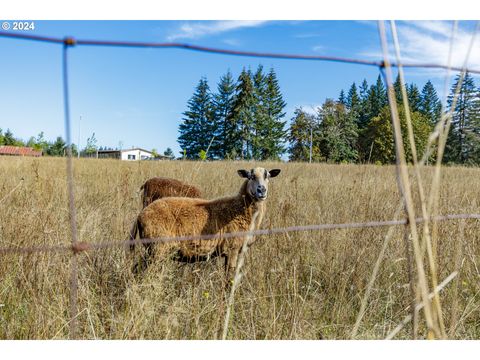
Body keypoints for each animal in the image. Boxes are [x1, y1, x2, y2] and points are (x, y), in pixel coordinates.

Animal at [129, 167, 282, 276]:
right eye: (250, 176)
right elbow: (229, 278)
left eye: (268, 176)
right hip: (157, 248)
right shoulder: (232, 248)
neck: (240, 209)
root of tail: (140, 215)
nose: (261, 190)